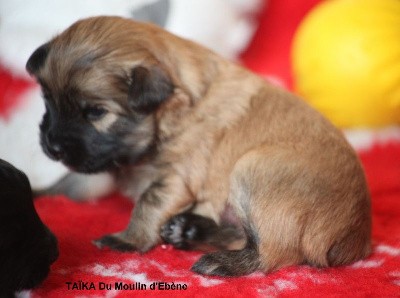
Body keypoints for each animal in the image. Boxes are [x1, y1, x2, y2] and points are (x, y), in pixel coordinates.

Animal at [25, 16, 372, 278]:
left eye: (96, 112)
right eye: (47, 100)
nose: (52, 146)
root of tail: (357, 237)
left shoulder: (174, 179)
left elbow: (148, 203)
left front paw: (126, 240)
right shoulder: (103, 163)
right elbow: (71, 183)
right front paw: (34, 191)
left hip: (253, 169)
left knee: (273, 251)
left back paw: (217, 261)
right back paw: (189, 231)